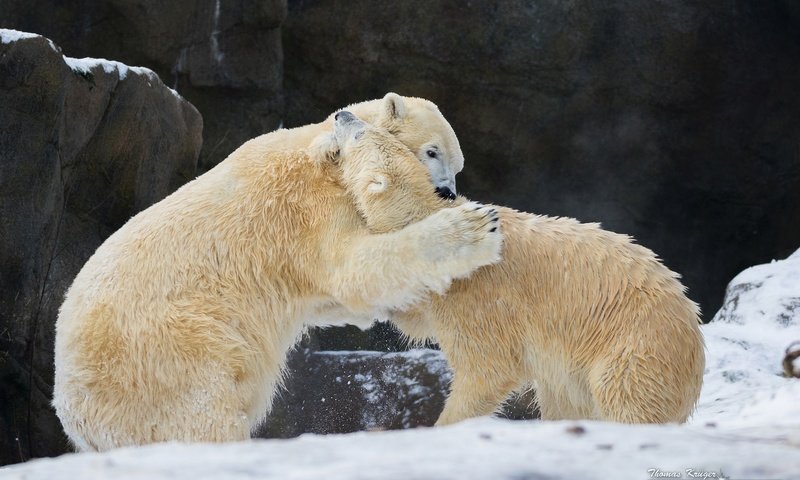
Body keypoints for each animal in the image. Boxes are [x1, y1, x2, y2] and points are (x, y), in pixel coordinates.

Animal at [51, 96, 500, 450]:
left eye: (456, 163)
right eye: (432, 151)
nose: (447, 192)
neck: (324, 152)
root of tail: (75, 416)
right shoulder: (309, 206)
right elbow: (352, 269)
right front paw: (475, 229)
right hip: (172, 353)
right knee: (202, 417)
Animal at [334, 112, 704, 424]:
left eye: (361, 133)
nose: (342, 114)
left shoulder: (478, 297)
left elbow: (488, 369)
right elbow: (418, 313)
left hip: (634, 347)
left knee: (626, 398)